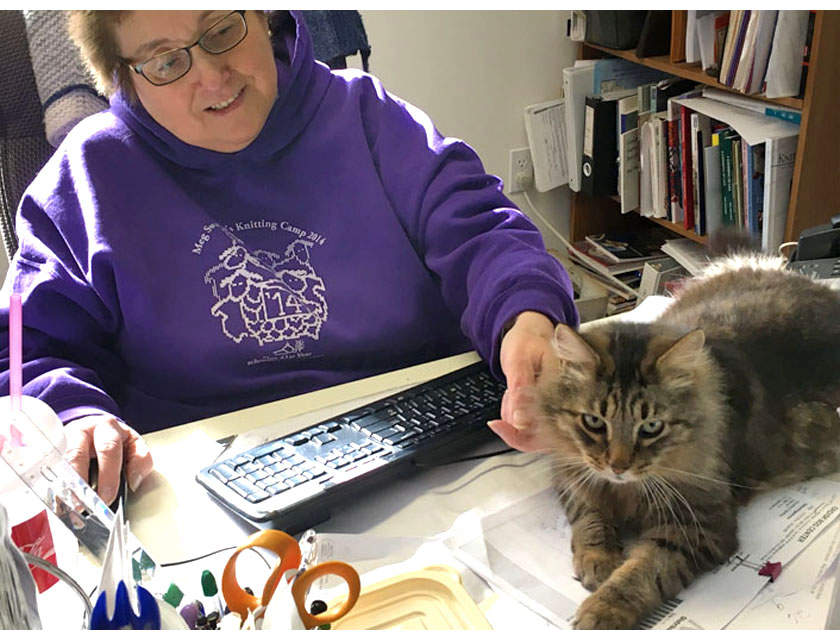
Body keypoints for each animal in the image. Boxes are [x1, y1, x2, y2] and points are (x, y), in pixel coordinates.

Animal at [532, 252, 840, 628]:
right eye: (594, 422)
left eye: (651, 427)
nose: (618, 466)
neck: (625, 490)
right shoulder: (571, 471)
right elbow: (590, 516)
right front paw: (599, 559)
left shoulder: (698, 527)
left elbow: (643, 572)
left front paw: (602, 610)